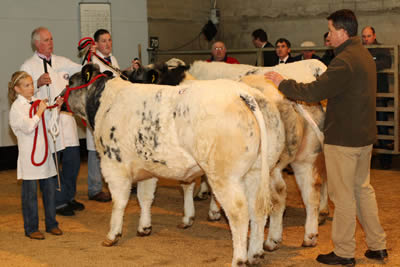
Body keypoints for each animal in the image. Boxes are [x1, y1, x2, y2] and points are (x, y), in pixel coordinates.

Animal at [64, 63, 284, 266]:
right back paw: (255, 254)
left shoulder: (113, 164)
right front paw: (144, 227)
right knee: (259, 209)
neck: (107, 103)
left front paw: (112, 235)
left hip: (225, 177)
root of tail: (242, 92)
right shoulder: (147, 167)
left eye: (70, 81)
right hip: (257, 172)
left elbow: (119, 202)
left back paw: (239, 259)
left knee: (239, 214)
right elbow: (145, 198)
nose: (59, 100)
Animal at [127, 58, 328, 251]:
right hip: (305, 158)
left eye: (141, 75)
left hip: (271, 167)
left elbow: (187, 184)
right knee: (311, 191)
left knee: (278, 196)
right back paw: (310, 234)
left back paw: (272, 239)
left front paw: (196, 214)